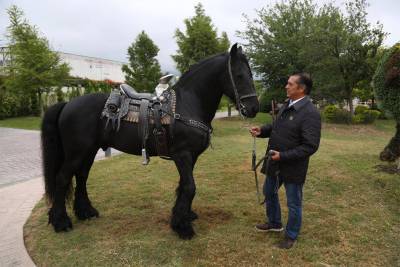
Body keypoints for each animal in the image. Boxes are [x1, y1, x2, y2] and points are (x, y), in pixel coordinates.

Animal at [41, 44, 260, 241]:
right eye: (239, 75)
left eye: (250, 74)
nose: (253, 108)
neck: (187, 105)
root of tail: (67, 104)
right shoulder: (182, 155)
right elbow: (190, 187)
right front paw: (183, 227)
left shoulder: (191, 157)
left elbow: (184, 186)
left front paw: (184, 216)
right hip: (77, 152)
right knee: (62, 179)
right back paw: (61, 222)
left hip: (89, 151)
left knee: (82, 177)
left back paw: (86, 212)